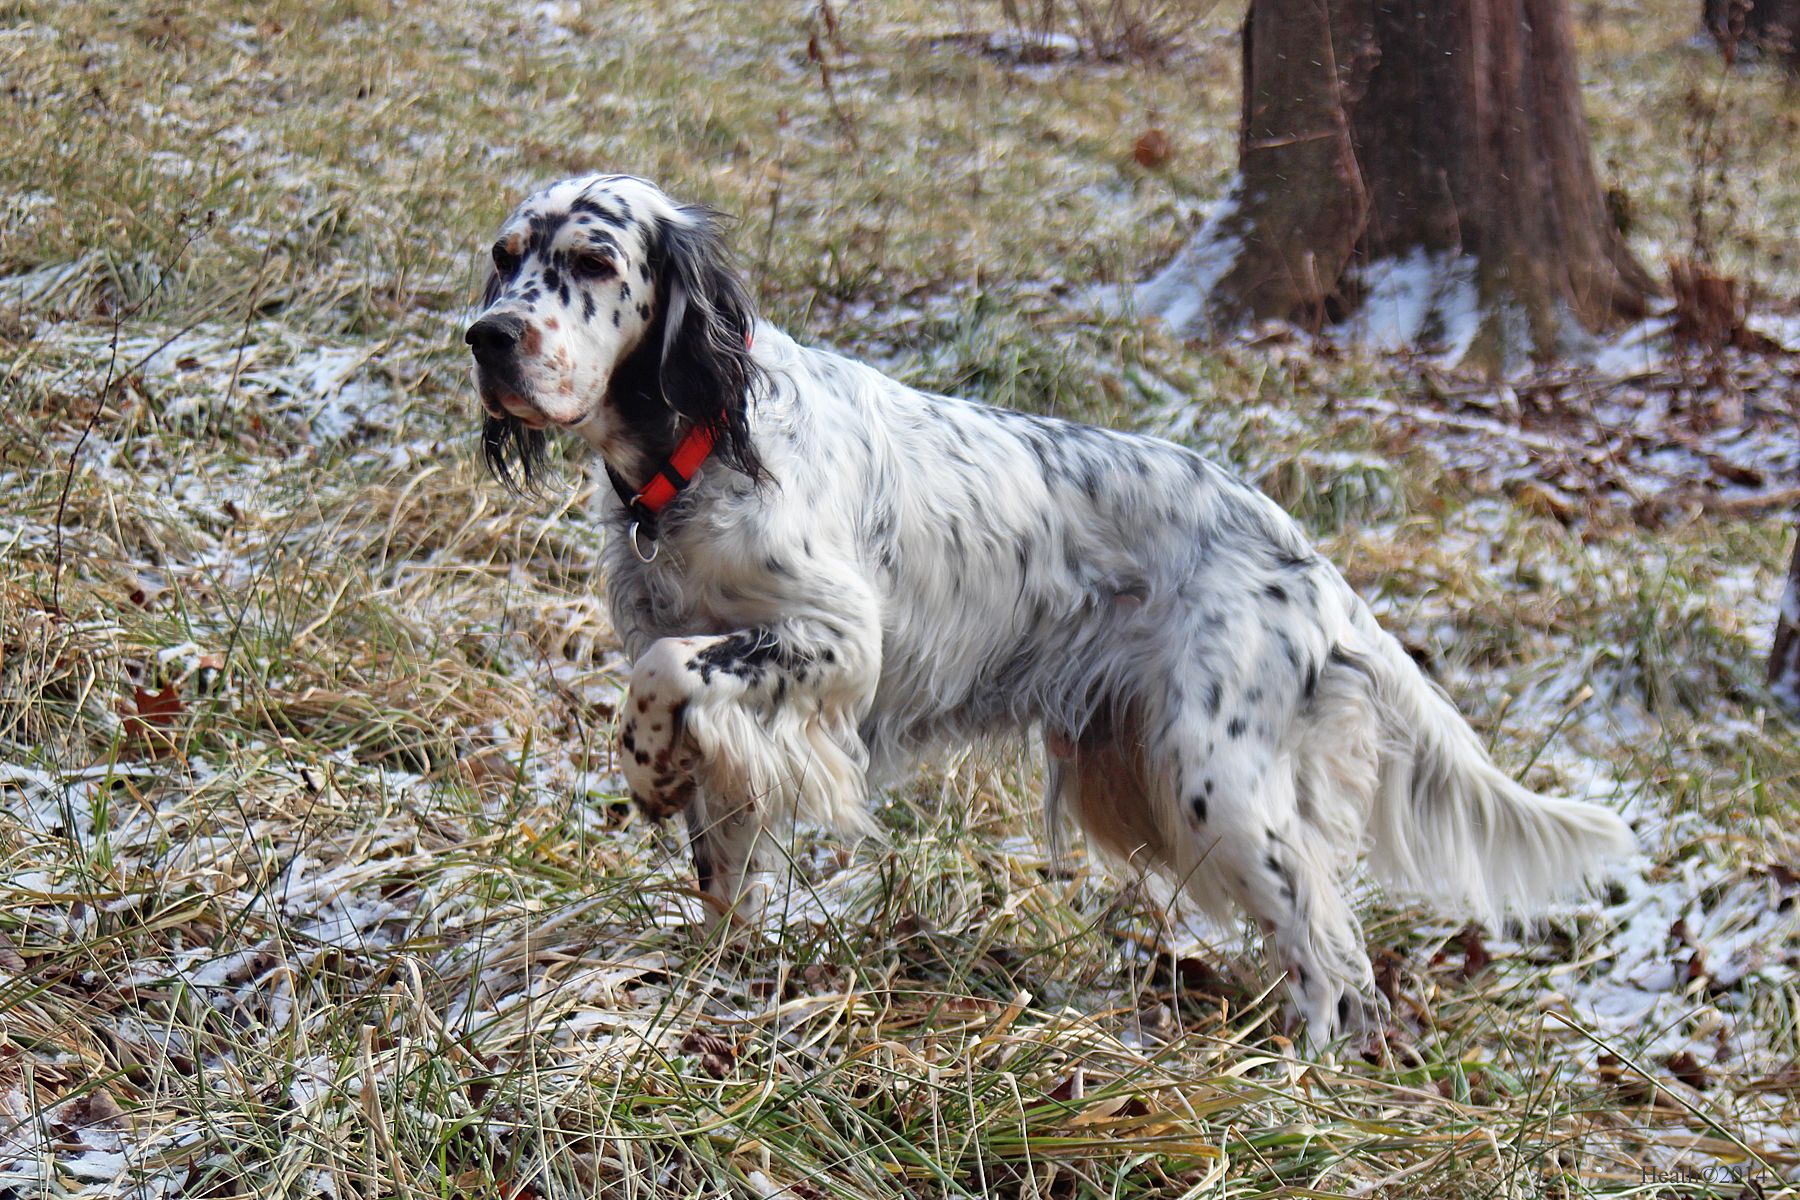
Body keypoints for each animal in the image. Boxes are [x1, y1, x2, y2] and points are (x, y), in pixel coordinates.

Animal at [460, 173, 1634, 1043]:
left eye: (593, 263)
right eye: (505, 255)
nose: (487, 336)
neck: (695, 451)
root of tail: (1307, 557)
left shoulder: (835, 644)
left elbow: (662, 678)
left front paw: (644, 772)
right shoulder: (737, 706)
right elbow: (720, 859)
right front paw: (714, 981)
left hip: (1216, 781)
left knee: (1330, 944)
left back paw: (1307, 1084)